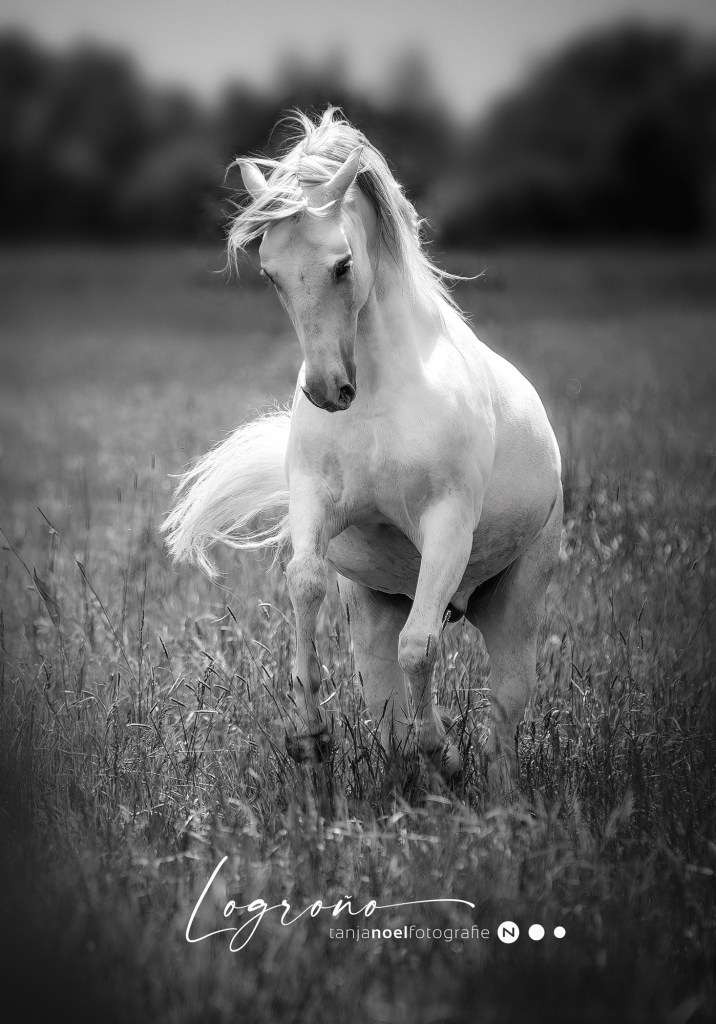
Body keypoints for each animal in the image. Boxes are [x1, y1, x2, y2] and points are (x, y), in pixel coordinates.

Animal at [163, 108, 563, 794]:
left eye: (343, 265)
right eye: (269, 272)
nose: (328, 390)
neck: (378, 396)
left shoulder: (447, 526)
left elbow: (420, 648)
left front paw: (443, 755)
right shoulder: (316, 504)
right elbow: (304, 584)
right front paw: (310, 738)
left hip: (516, 605)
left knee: (503, 720)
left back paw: (494, 795)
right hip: (376, 610)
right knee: (386, 707)